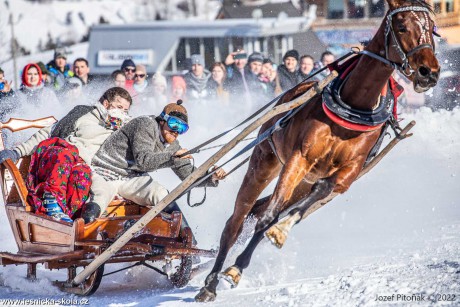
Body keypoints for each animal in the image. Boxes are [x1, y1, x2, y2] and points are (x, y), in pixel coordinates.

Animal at [194, 0, 438, 304]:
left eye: (432, 28)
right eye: (402, 26)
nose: (430, 72)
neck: (355, 104)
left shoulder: (348, 172)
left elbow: (318, 191)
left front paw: (280, 231)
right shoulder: (299, 158)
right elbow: (268, 216)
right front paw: (239, 263)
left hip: (300, 182)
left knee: (267, 209)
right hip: (264, 160)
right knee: (238, 219)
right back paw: (211, 281)